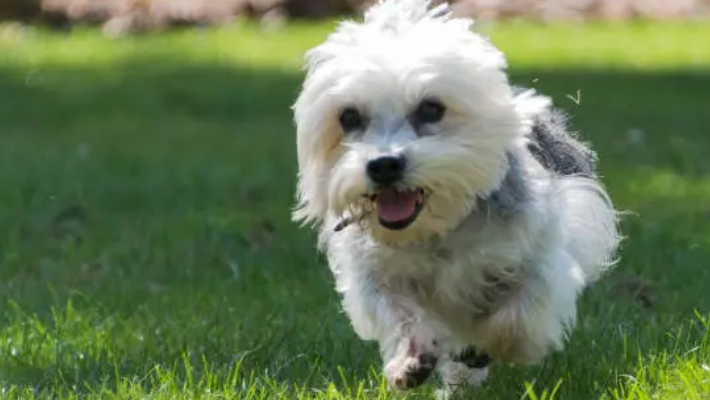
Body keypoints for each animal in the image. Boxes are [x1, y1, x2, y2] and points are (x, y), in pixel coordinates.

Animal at [292, 0, 620, 394]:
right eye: (349, 116)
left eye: (431, 108)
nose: (383, 165)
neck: (439, 228)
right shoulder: (374, 274)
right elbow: (399, 312)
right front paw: (411, 359)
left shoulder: (540, 256)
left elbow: (516, 316)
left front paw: (485, 345)